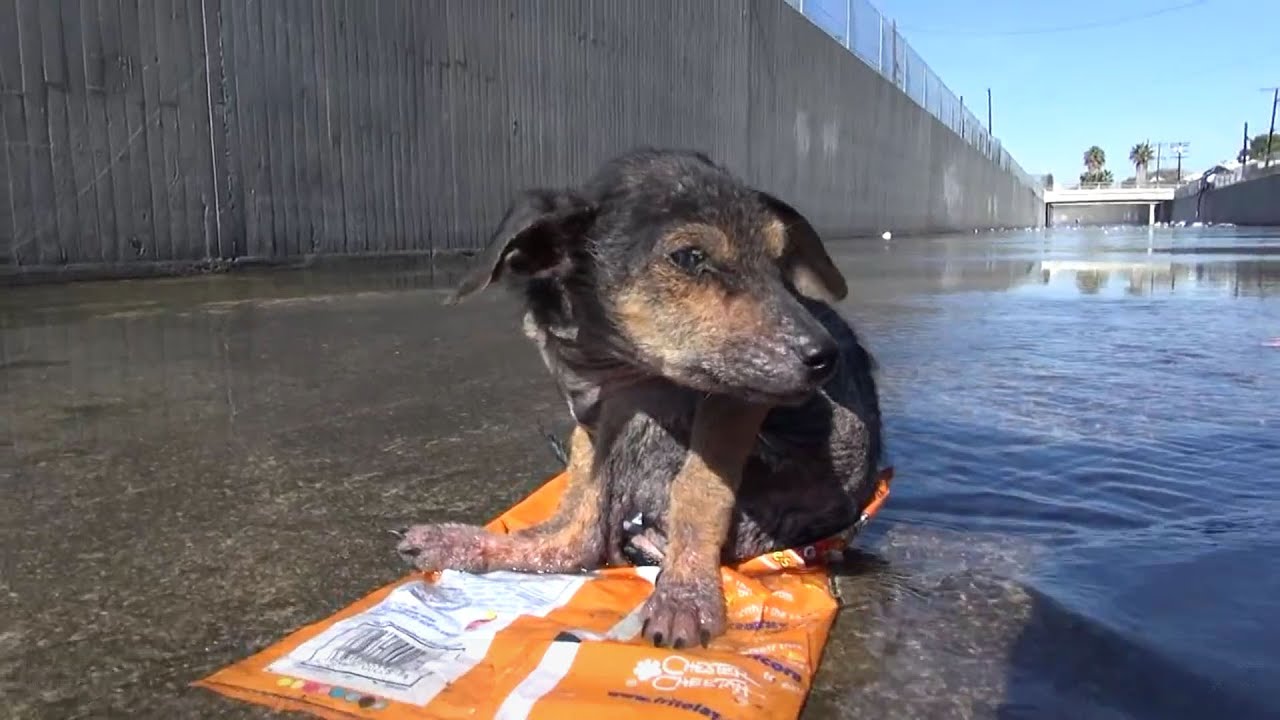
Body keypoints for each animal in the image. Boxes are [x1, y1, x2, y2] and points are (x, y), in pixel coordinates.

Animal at [396, 148, 880, 648]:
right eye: (688, 257)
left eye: (779, 259)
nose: (825, 356)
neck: (610, 360)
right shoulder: (594, 414)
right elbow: (586, 501)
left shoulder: (737, 392)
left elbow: (698, 487)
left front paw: (686, 592)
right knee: (578, 539)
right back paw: (465, 542)